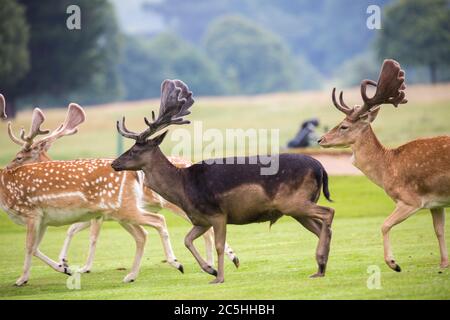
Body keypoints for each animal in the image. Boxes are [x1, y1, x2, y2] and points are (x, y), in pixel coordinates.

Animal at [112, 79, 334, 284]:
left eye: (135, 150)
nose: (114, 163)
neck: (183, 187)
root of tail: (320, 168)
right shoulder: (201, 219)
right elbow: (187, 240)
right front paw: (209, 270)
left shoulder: (218, 213)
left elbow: (218, 245)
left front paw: (218, 277)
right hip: (297, 208)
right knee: (320, 227)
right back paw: (320, 269)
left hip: (293, 202)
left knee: (328, 213)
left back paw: (321, 261)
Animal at [318, 58, 448, 272]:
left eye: (344, 126)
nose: (320, 139)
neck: (388, 166)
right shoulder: (436, 202)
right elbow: (439, 230)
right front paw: (444, 263)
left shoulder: (411, 199)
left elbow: (384, 225)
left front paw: (393, 263)